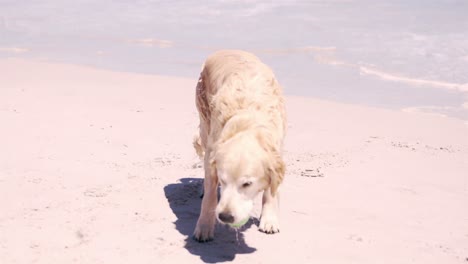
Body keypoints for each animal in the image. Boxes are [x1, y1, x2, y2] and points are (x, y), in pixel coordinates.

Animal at [193, 49, 288, 241]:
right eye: (223, 180)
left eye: (247, 184)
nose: (225, 216)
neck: (249, 122)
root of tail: (223, 50)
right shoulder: (213, 152)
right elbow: (210, 193)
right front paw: (204, 226)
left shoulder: (277, 149)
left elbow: (271, 191)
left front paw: (269, 219)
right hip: (205, 123)